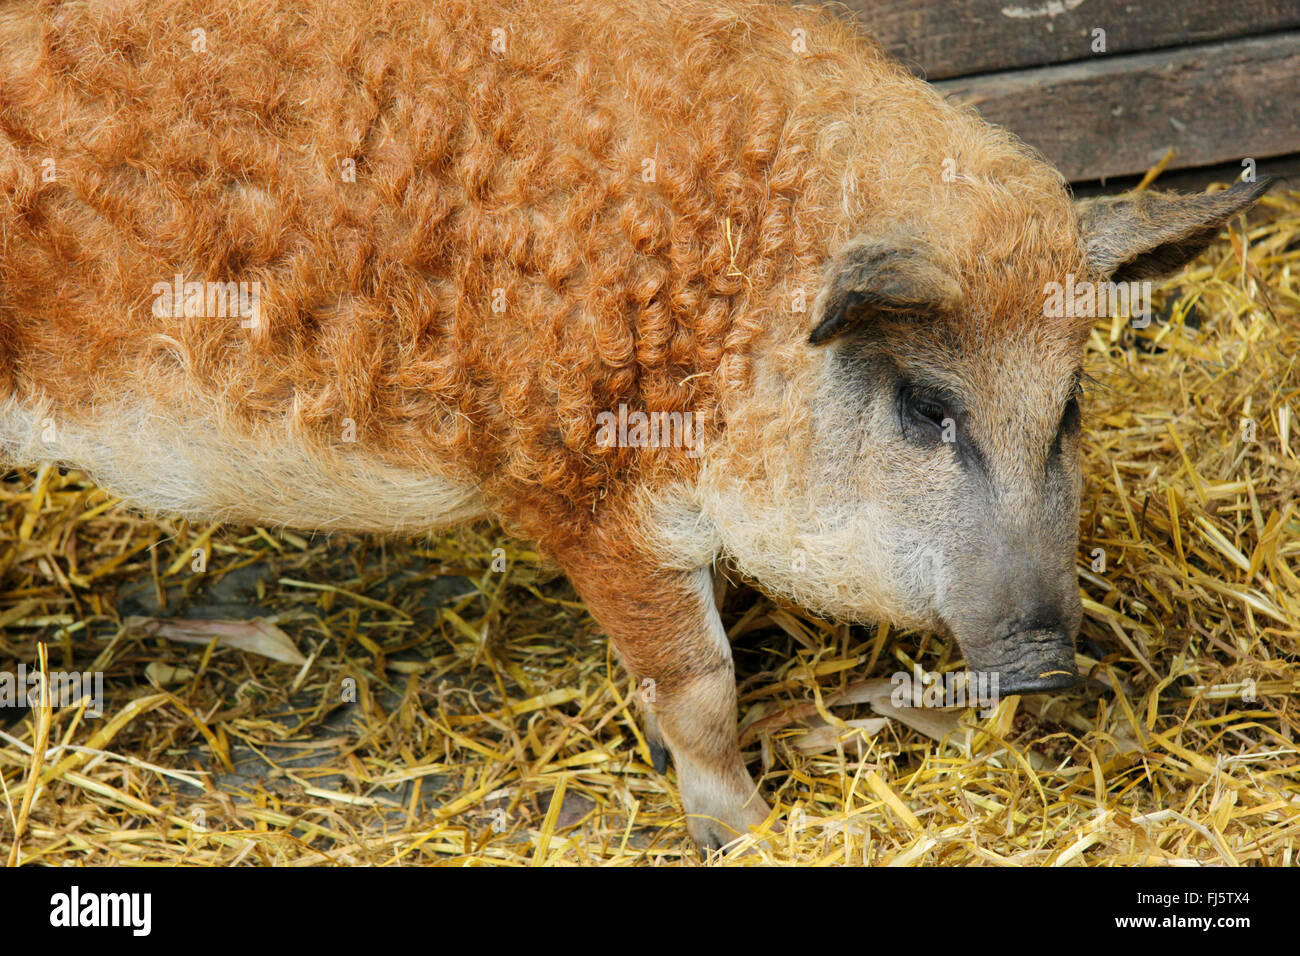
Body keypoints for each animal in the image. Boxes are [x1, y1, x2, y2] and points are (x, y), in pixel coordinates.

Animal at [0, 0, 1270, 849]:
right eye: (926, 404)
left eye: (1070, 404)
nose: (1047, 662)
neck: (727, 307)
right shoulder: (580, 485)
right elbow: (698, 680)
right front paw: (748, 830)